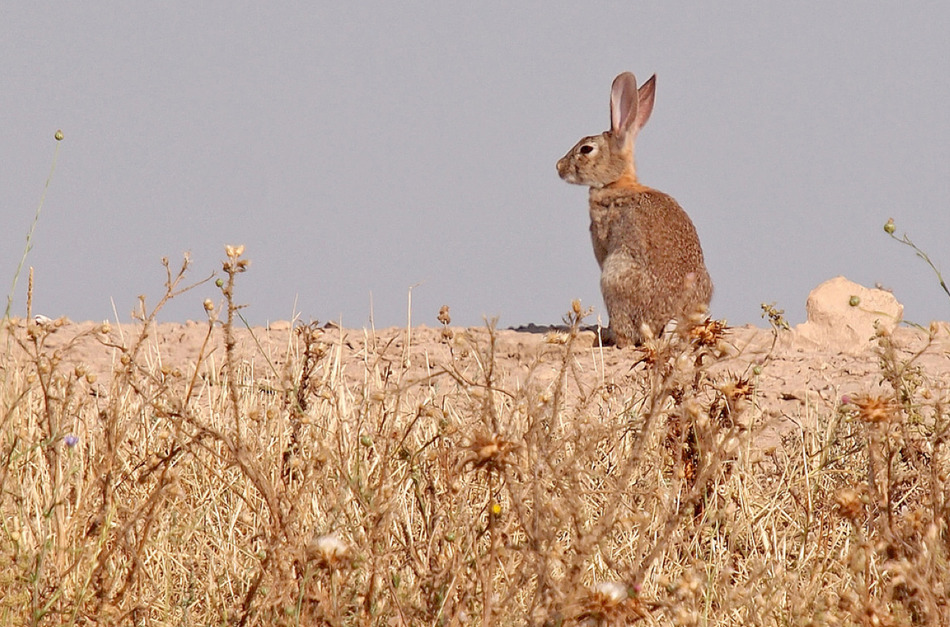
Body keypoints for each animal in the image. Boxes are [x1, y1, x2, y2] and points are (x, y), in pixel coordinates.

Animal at [556, 74, 712, 350]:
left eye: (586, 149)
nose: (559, 166)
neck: (617, 182)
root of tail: (673, 322)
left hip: (613, 276)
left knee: (627, 337)